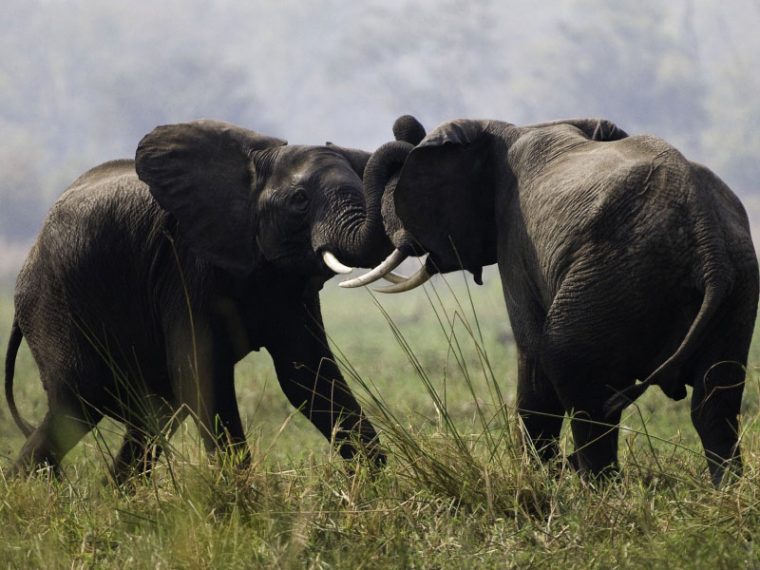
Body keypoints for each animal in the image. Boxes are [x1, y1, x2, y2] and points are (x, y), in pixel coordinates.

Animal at [5, 118, 400, 480]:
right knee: (78, 403)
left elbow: (309, 375)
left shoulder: (288, 285)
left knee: (153, 416)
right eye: (300, 201)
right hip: (52, 303)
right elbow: (202, 373)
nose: (404, 128)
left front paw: (370, 489)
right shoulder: (187, 267)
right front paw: (241, 500)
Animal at [346, 115, 760, 484]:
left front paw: (542, 478)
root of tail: (707, 235)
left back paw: (597, 492)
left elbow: (531, 355)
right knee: (713, 405)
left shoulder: (515, 239)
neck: (498, 129)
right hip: (736, 290)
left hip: (611, 279)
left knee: (580, 385)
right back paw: (724, 492)